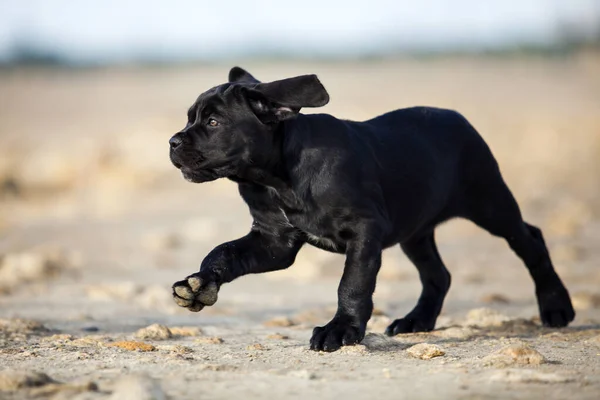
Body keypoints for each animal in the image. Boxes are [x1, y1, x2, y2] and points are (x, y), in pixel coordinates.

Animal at [168, 67, 572, 352]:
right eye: (190, 118)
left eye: (213, 122)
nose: (173, 141)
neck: (276, 178)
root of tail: (457, 117)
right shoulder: (274, 242)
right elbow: (224, 252)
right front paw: (199, 284)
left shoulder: (364, 230)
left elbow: (353, 284)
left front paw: (340, 329)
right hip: (417, 231)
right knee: (438, 274)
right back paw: (416, 321)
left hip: (490, 204)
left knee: (530, 240)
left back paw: (557, 307)